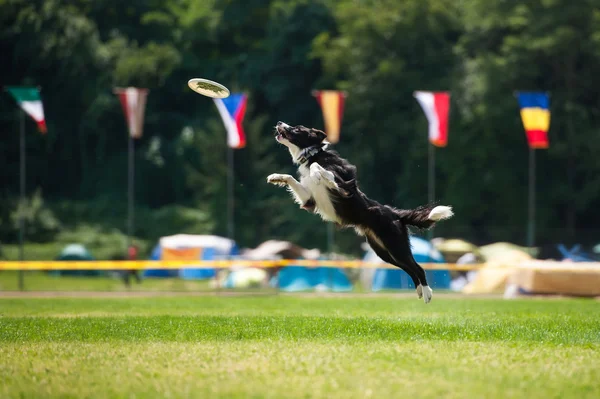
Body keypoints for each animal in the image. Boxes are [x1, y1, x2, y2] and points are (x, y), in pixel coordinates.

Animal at [264, 121, 452, 304]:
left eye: (297, 129)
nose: (279, 122)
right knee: (408, 268)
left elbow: (320, 169)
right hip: (383, 251)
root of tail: (394, 213)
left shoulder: (342, 187)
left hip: (395, 244)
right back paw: (420, 291)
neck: (313, 154)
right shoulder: (309, 199)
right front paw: (275, 177)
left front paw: (316, 173)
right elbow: (290, 178)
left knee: (417, 267)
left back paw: (427, 293)